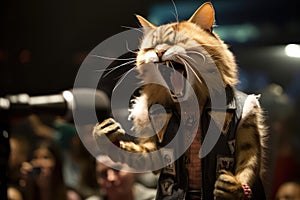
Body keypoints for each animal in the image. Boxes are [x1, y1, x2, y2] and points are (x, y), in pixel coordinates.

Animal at [93, 1, 268, 200]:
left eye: (177, 40)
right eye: (152, 46)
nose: (159, 51)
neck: (191, 103)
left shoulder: (248, 128)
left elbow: (248, 163)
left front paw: (234, 188)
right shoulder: (155, 147)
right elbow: (140, 154)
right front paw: (108, 135)